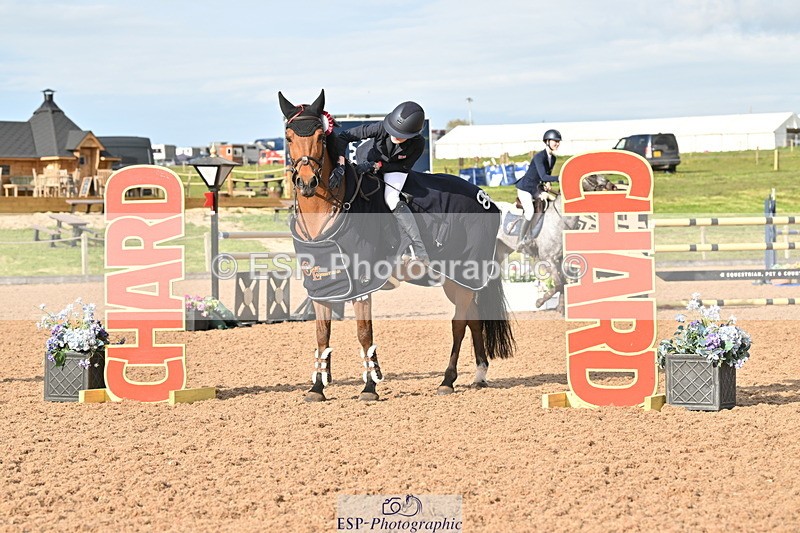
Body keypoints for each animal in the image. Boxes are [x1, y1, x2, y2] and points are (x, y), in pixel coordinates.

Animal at [278, 89, 515, 402]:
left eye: (319, 136)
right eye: (288, 136)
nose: (307, 183)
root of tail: (484, 197)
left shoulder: (362, 284)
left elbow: (364, 333)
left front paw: (369, 387)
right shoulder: (321, 284)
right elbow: (321, 335)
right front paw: (317, 388)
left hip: (465, 273)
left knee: (458, 324)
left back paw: (447, 380)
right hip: (455, 280)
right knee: (473, 318)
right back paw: (479, 375)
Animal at [495, 175, 618, 314]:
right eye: (592, 176)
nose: (612, 186)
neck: (559, 220)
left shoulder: (560, 258)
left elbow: (563, 283)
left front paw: (561, 308)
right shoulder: (548, 259)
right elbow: (559, 284)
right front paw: (540, 302)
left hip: (501, 250)